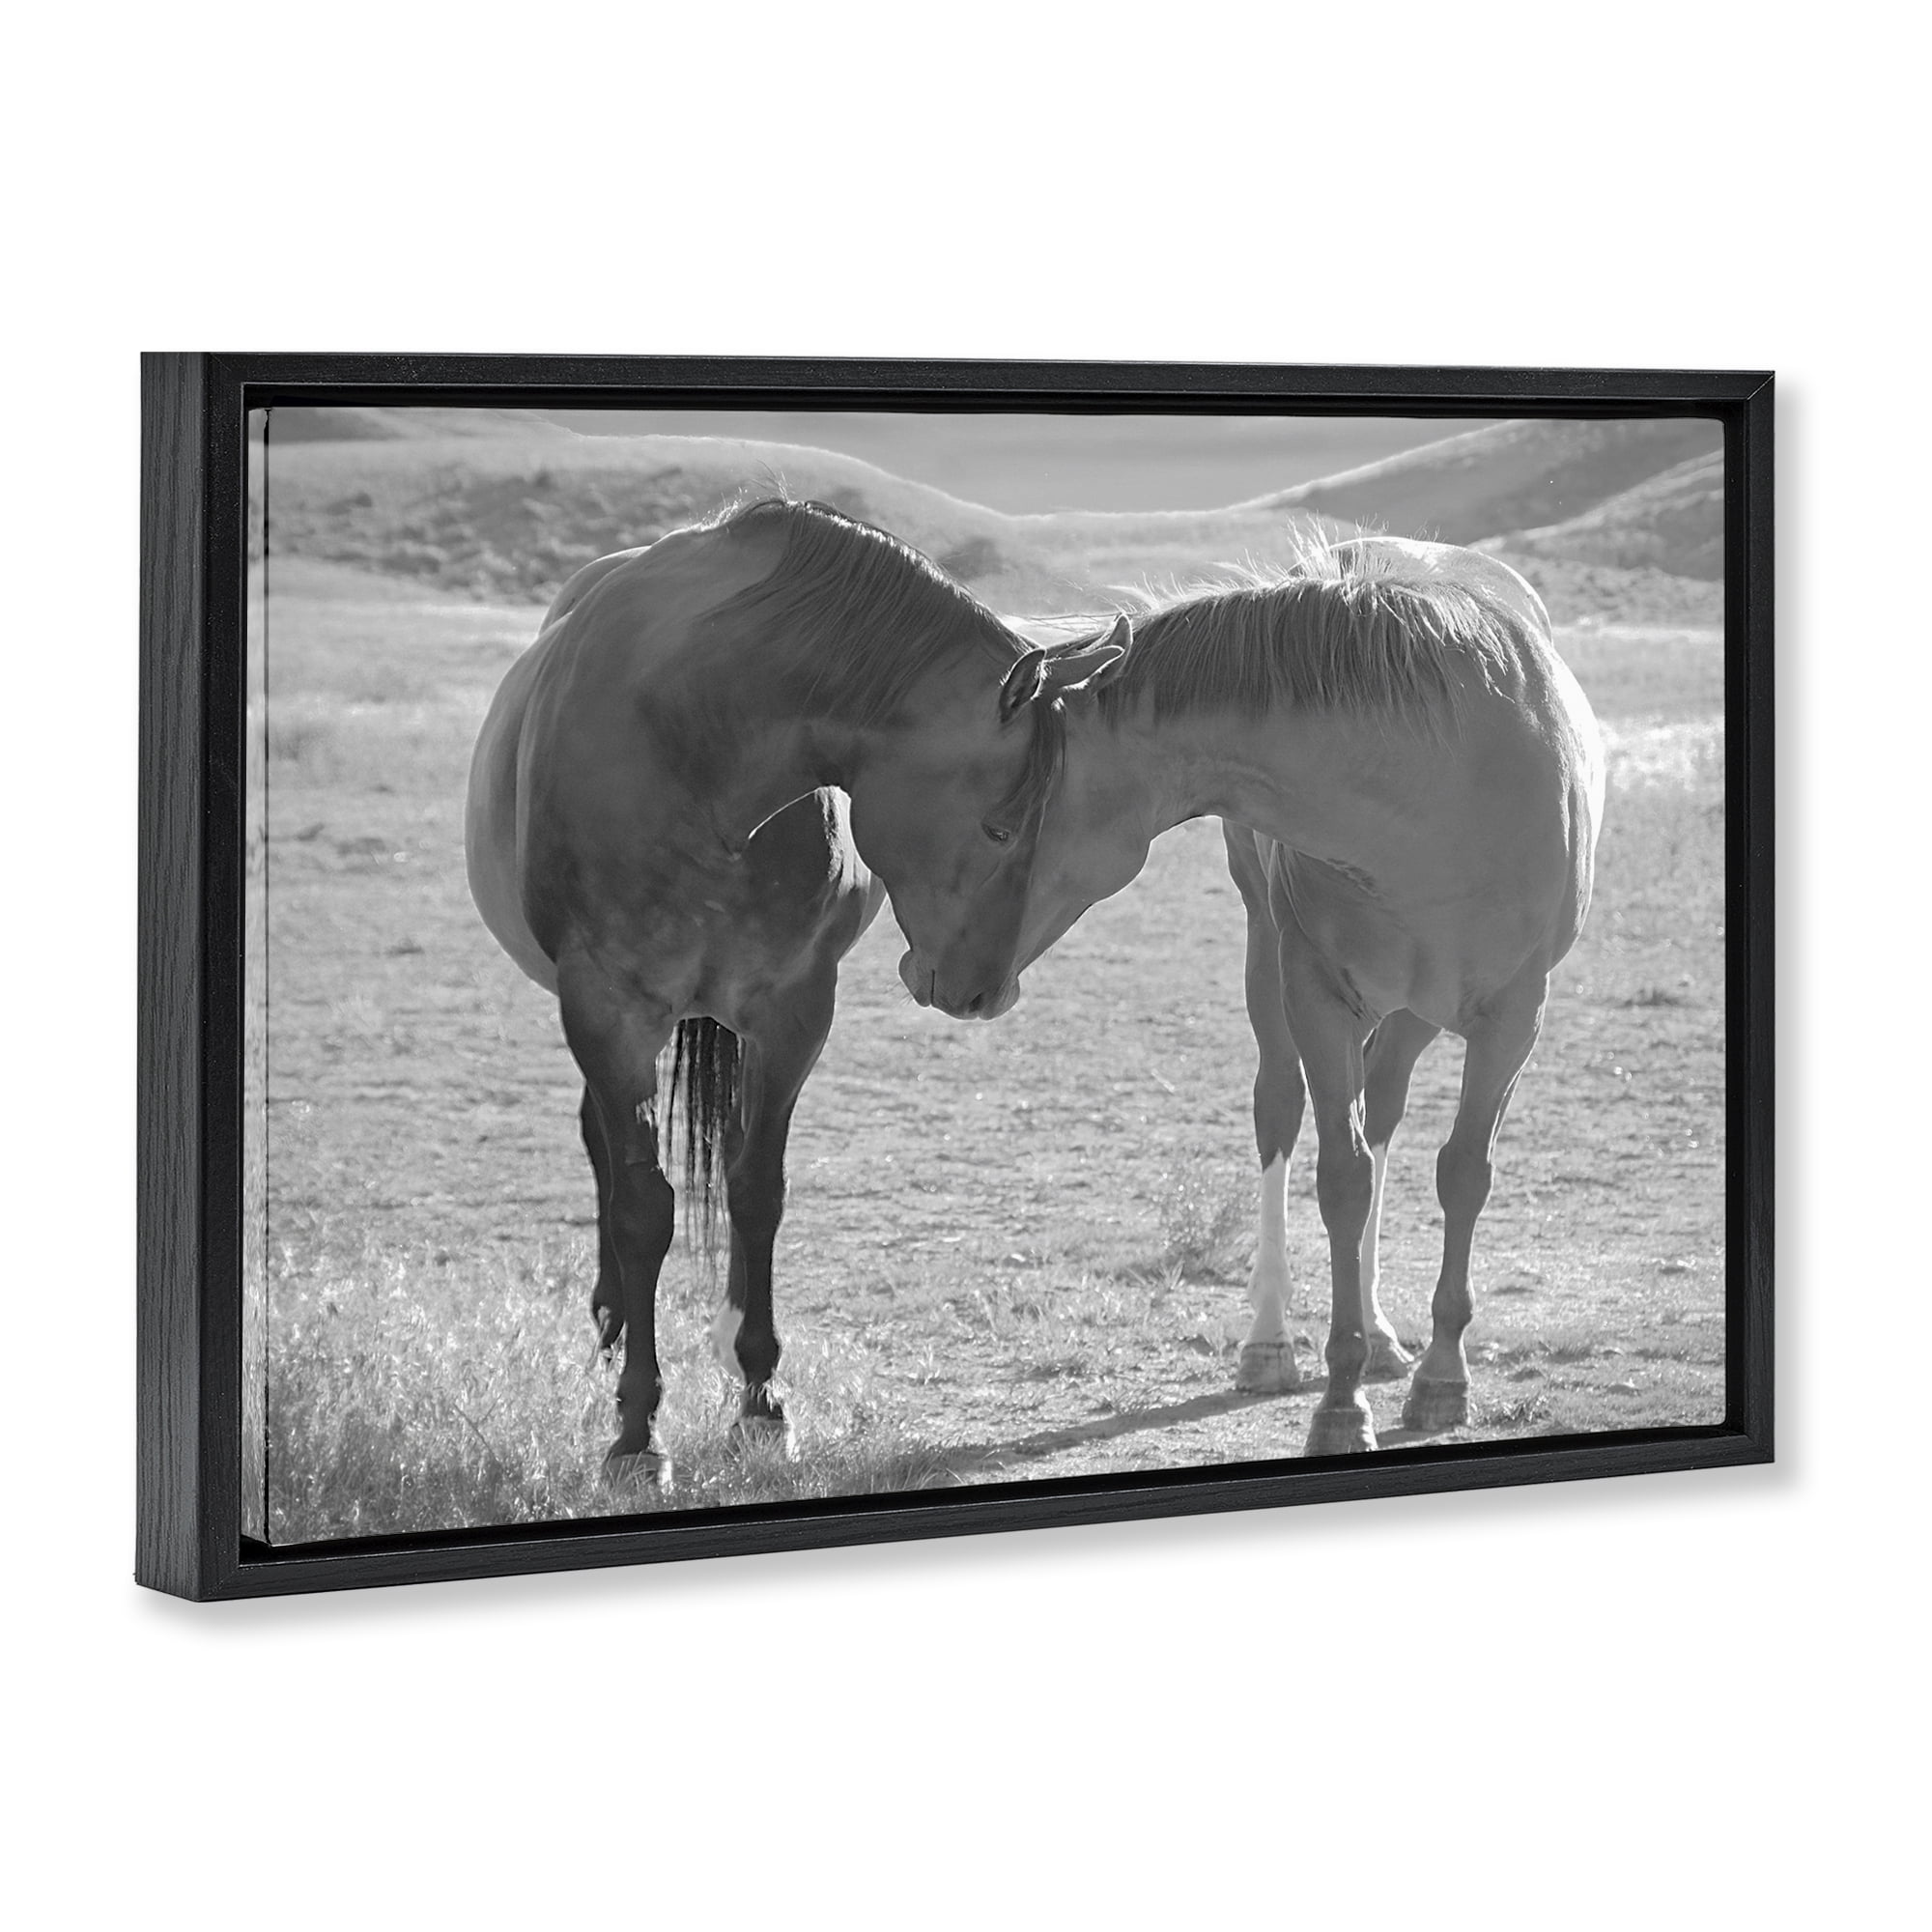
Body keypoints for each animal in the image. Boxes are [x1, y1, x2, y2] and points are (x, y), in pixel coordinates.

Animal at [466, 496, 1127, 1486]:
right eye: (1001, 826)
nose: (984, 993)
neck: (694, 743)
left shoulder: (792, 1008)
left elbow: (757, 1189)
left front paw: (761, 1398)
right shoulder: (606, 1010)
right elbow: (642, 1208)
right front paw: (637, 1431)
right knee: (603, 1151)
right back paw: (614, 1322)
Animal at [918, 536, 1604, 1456]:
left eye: (997, 824)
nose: (937, 978)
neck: (1436, 784)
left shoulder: (1514, 1017)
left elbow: (1462, 1173)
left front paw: (1441, 1379)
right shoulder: (1314, 994)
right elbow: (1341, 1179)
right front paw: (1340, 1404)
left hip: (1415, 1011)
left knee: (1384, 1111)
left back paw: (1383, 1334)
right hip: (1270, 961)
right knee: (1282, 1110)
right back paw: (1273, 1341)